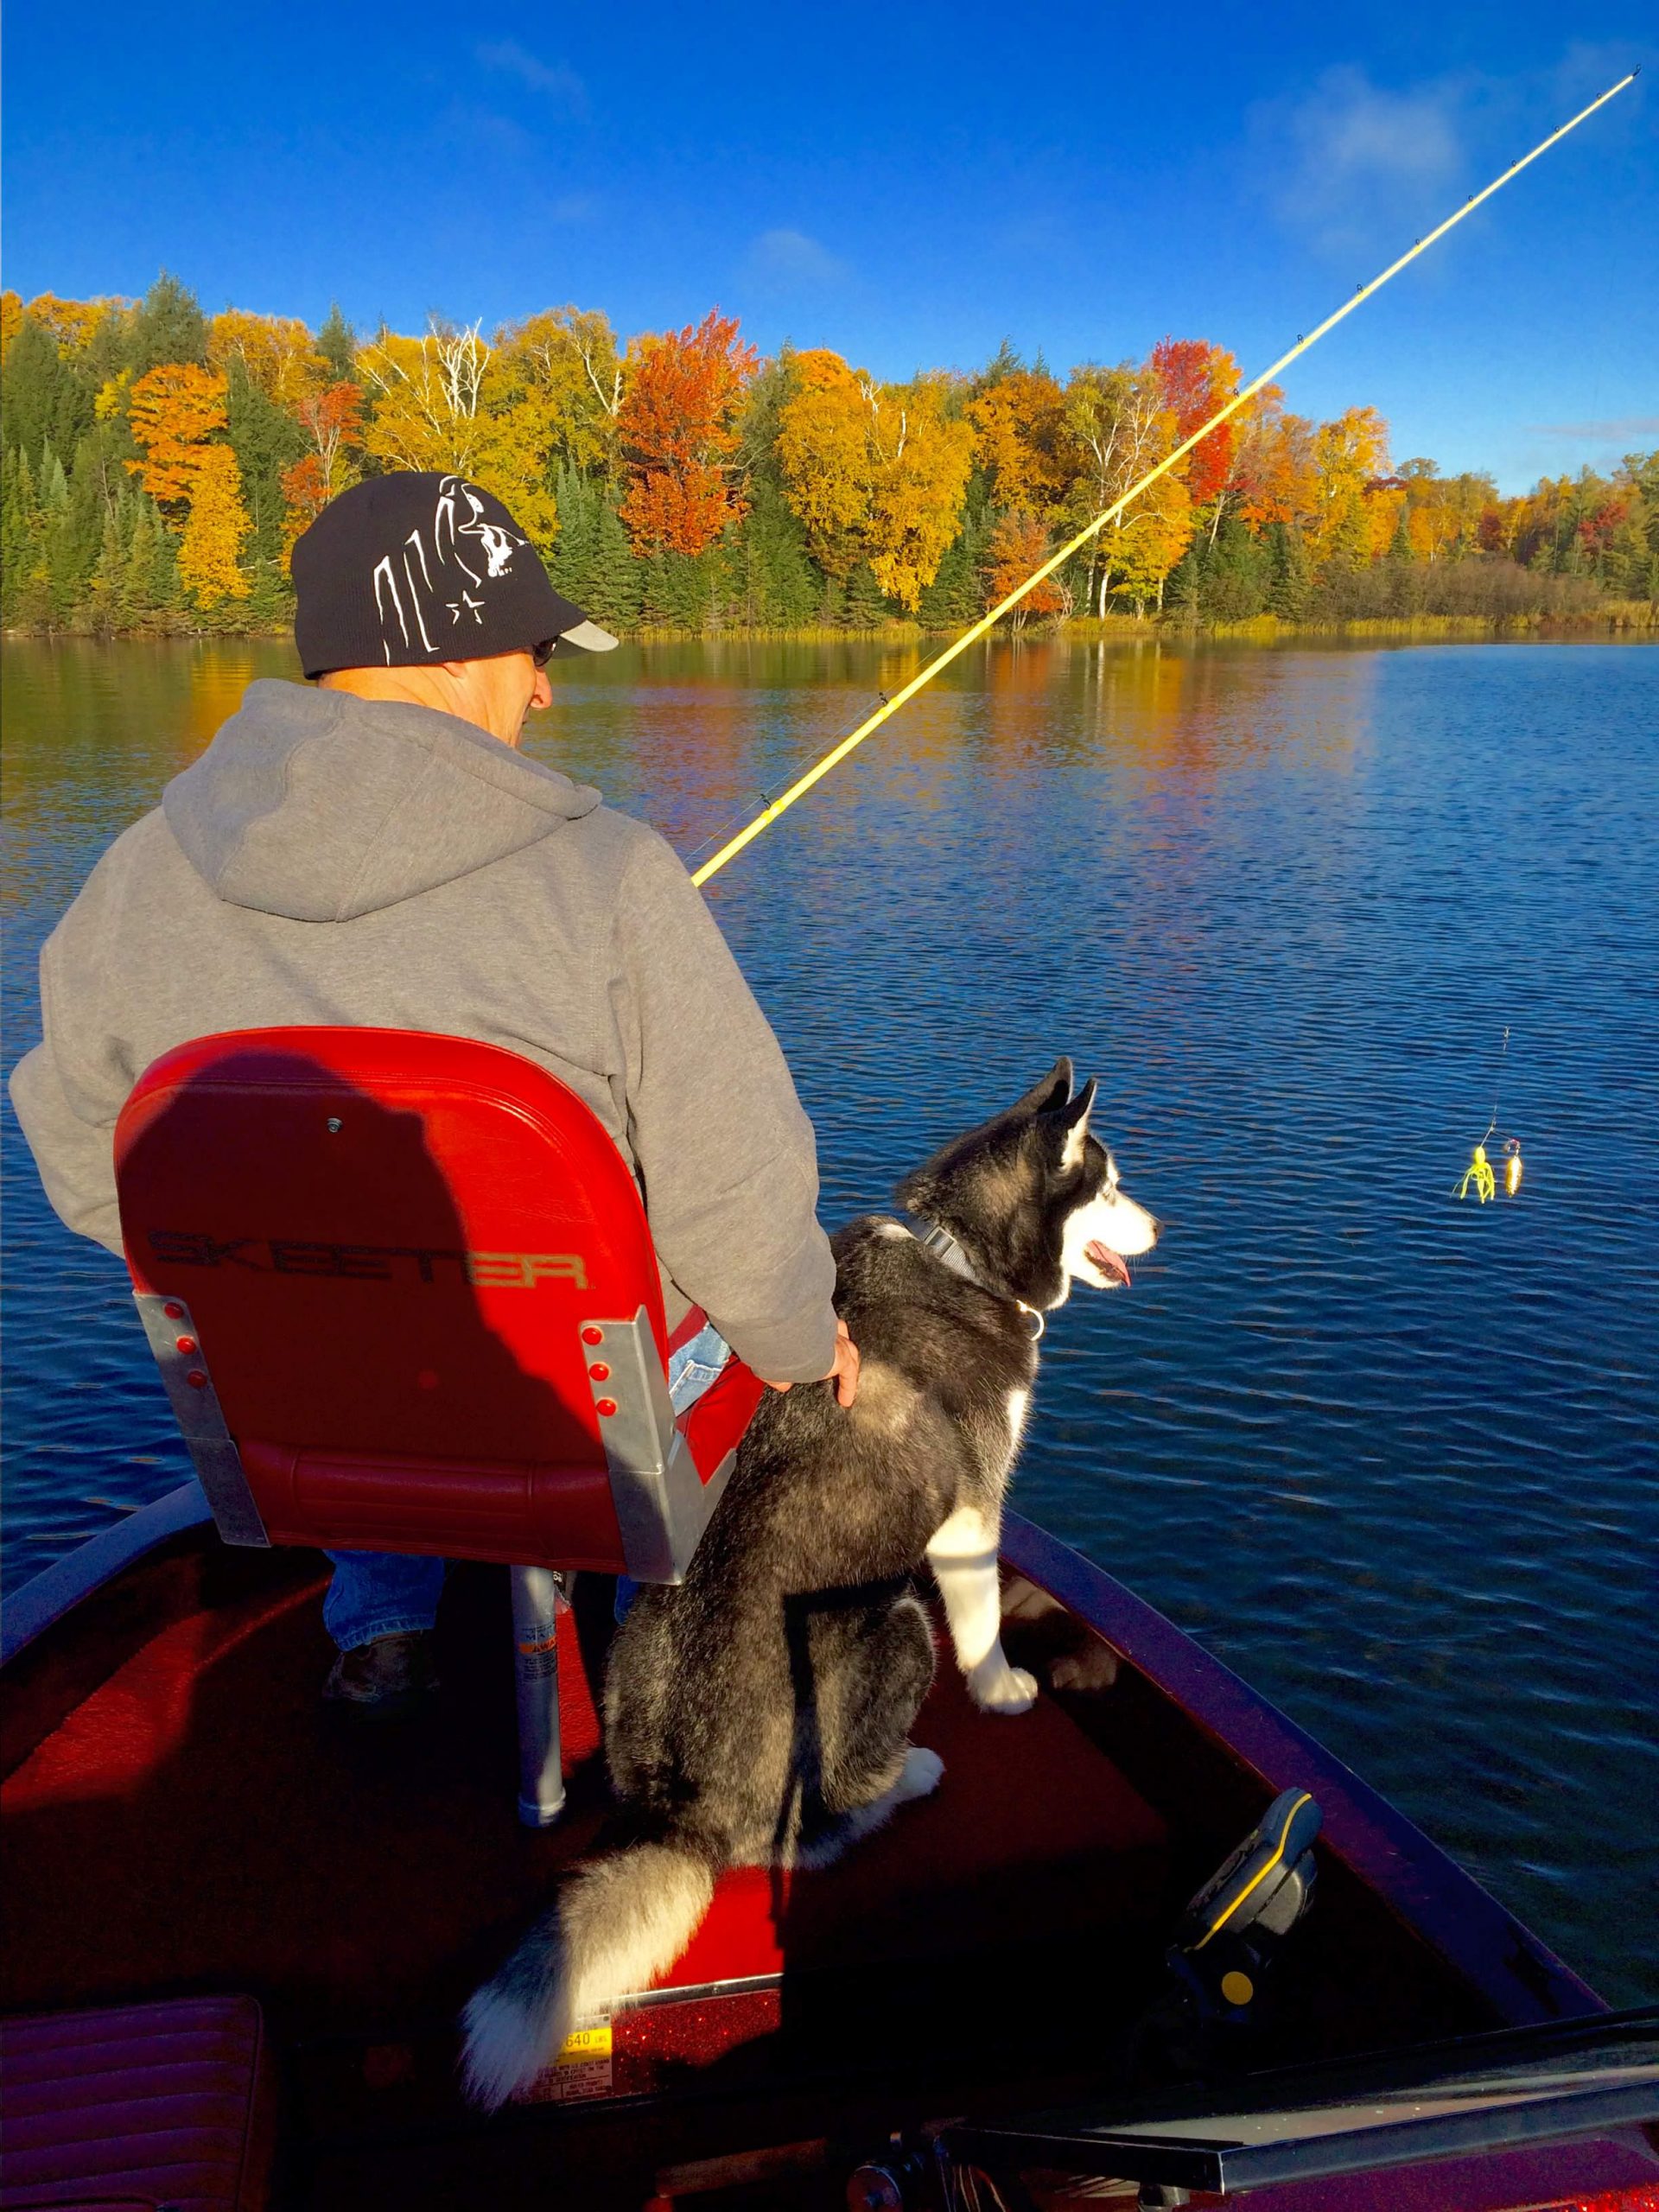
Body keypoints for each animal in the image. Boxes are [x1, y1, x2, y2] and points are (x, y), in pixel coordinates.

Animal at [462, 1061, 1159, 2114]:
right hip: (894, 1624)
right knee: (820, 1827)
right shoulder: (969, 1518)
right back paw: (911, 1773)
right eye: (1112, 1187)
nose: (1162, 1227)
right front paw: (1001, 1692)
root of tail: (685, 1812)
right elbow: (983, 1619)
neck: (961, 1260)